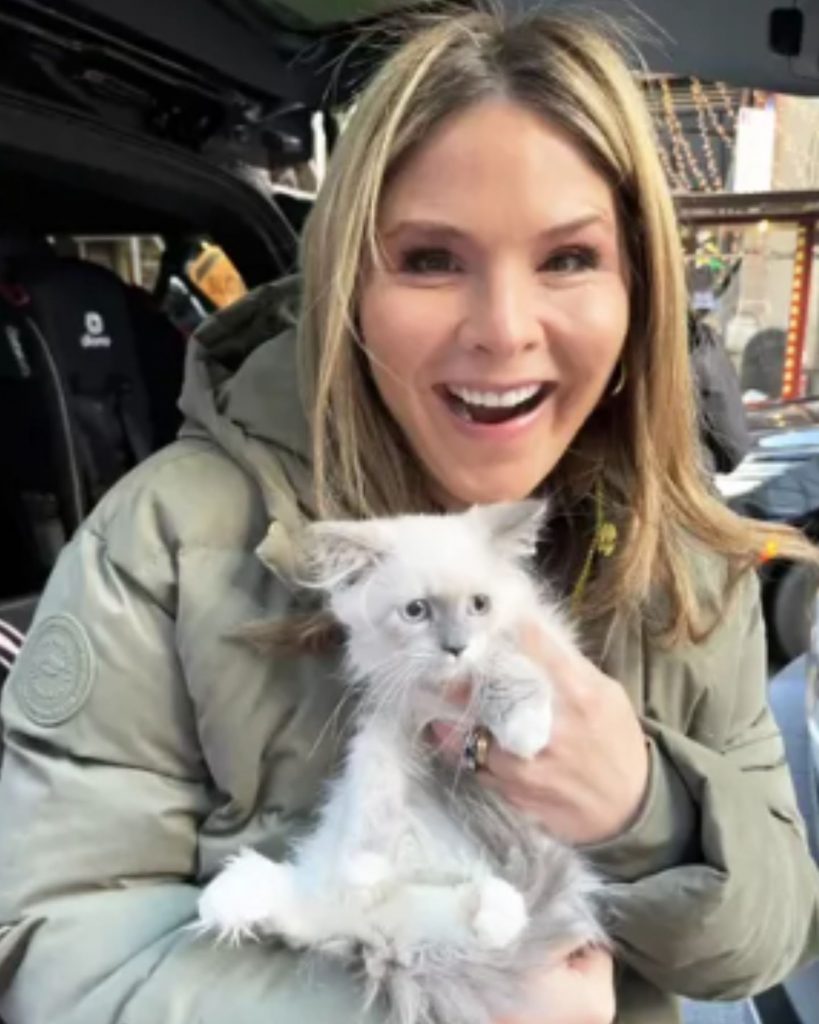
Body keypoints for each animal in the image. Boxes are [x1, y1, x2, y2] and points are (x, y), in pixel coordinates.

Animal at [197, 503, 606, 1024]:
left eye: (479, 605)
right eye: (416, 611)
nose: (455, 647)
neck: (440, 693)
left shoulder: (530, 648)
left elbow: (502, 664)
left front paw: (524, 726)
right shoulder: (393, 723)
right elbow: (376, 786)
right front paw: (367, 862)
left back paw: (491, 909)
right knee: (337, 911)